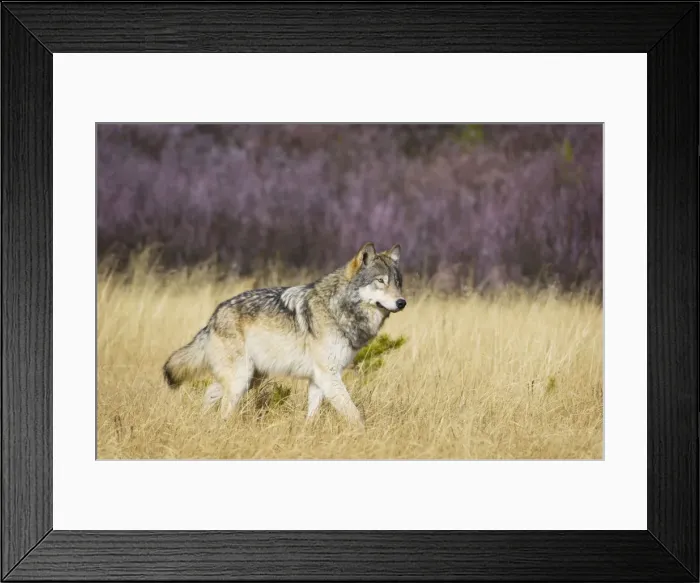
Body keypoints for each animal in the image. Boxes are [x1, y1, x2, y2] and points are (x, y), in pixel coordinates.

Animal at [163, 242, 407, 426]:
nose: (402, 302)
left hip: (249, 377)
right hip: (241, 379)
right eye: (380, 281)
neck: (337, 308)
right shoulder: (329, 376)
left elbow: (312, 414)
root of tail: (213, 317)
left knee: (210, 394)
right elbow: (355, 415)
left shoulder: (319, 378)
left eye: (397, 283)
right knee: (222, 405)